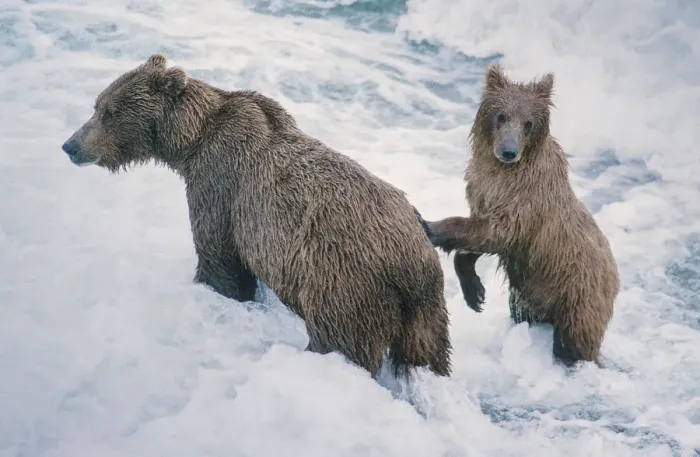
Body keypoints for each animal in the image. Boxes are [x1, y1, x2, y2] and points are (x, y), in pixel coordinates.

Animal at [60, 53, 452, 379]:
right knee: (428, 354)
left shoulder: (221, 184)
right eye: (97, 105)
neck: (191, 140)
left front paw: (215, 288)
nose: (70, 145)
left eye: (109, 112)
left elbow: (219, 257)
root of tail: (414, 265)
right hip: (427, 313)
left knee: (342, 339)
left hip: (342, 280)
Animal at [425, 63, 620, 367]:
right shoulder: (482, 192)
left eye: (528, 122)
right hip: (530, 298)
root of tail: (616, 280)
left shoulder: (526, 202)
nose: (508, 151)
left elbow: (496, 231)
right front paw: (475, 293)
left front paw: (429, 224)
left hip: (578, 297)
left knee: (573, 342)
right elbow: (482, 237)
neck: (502, 174)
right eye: (501, 116)